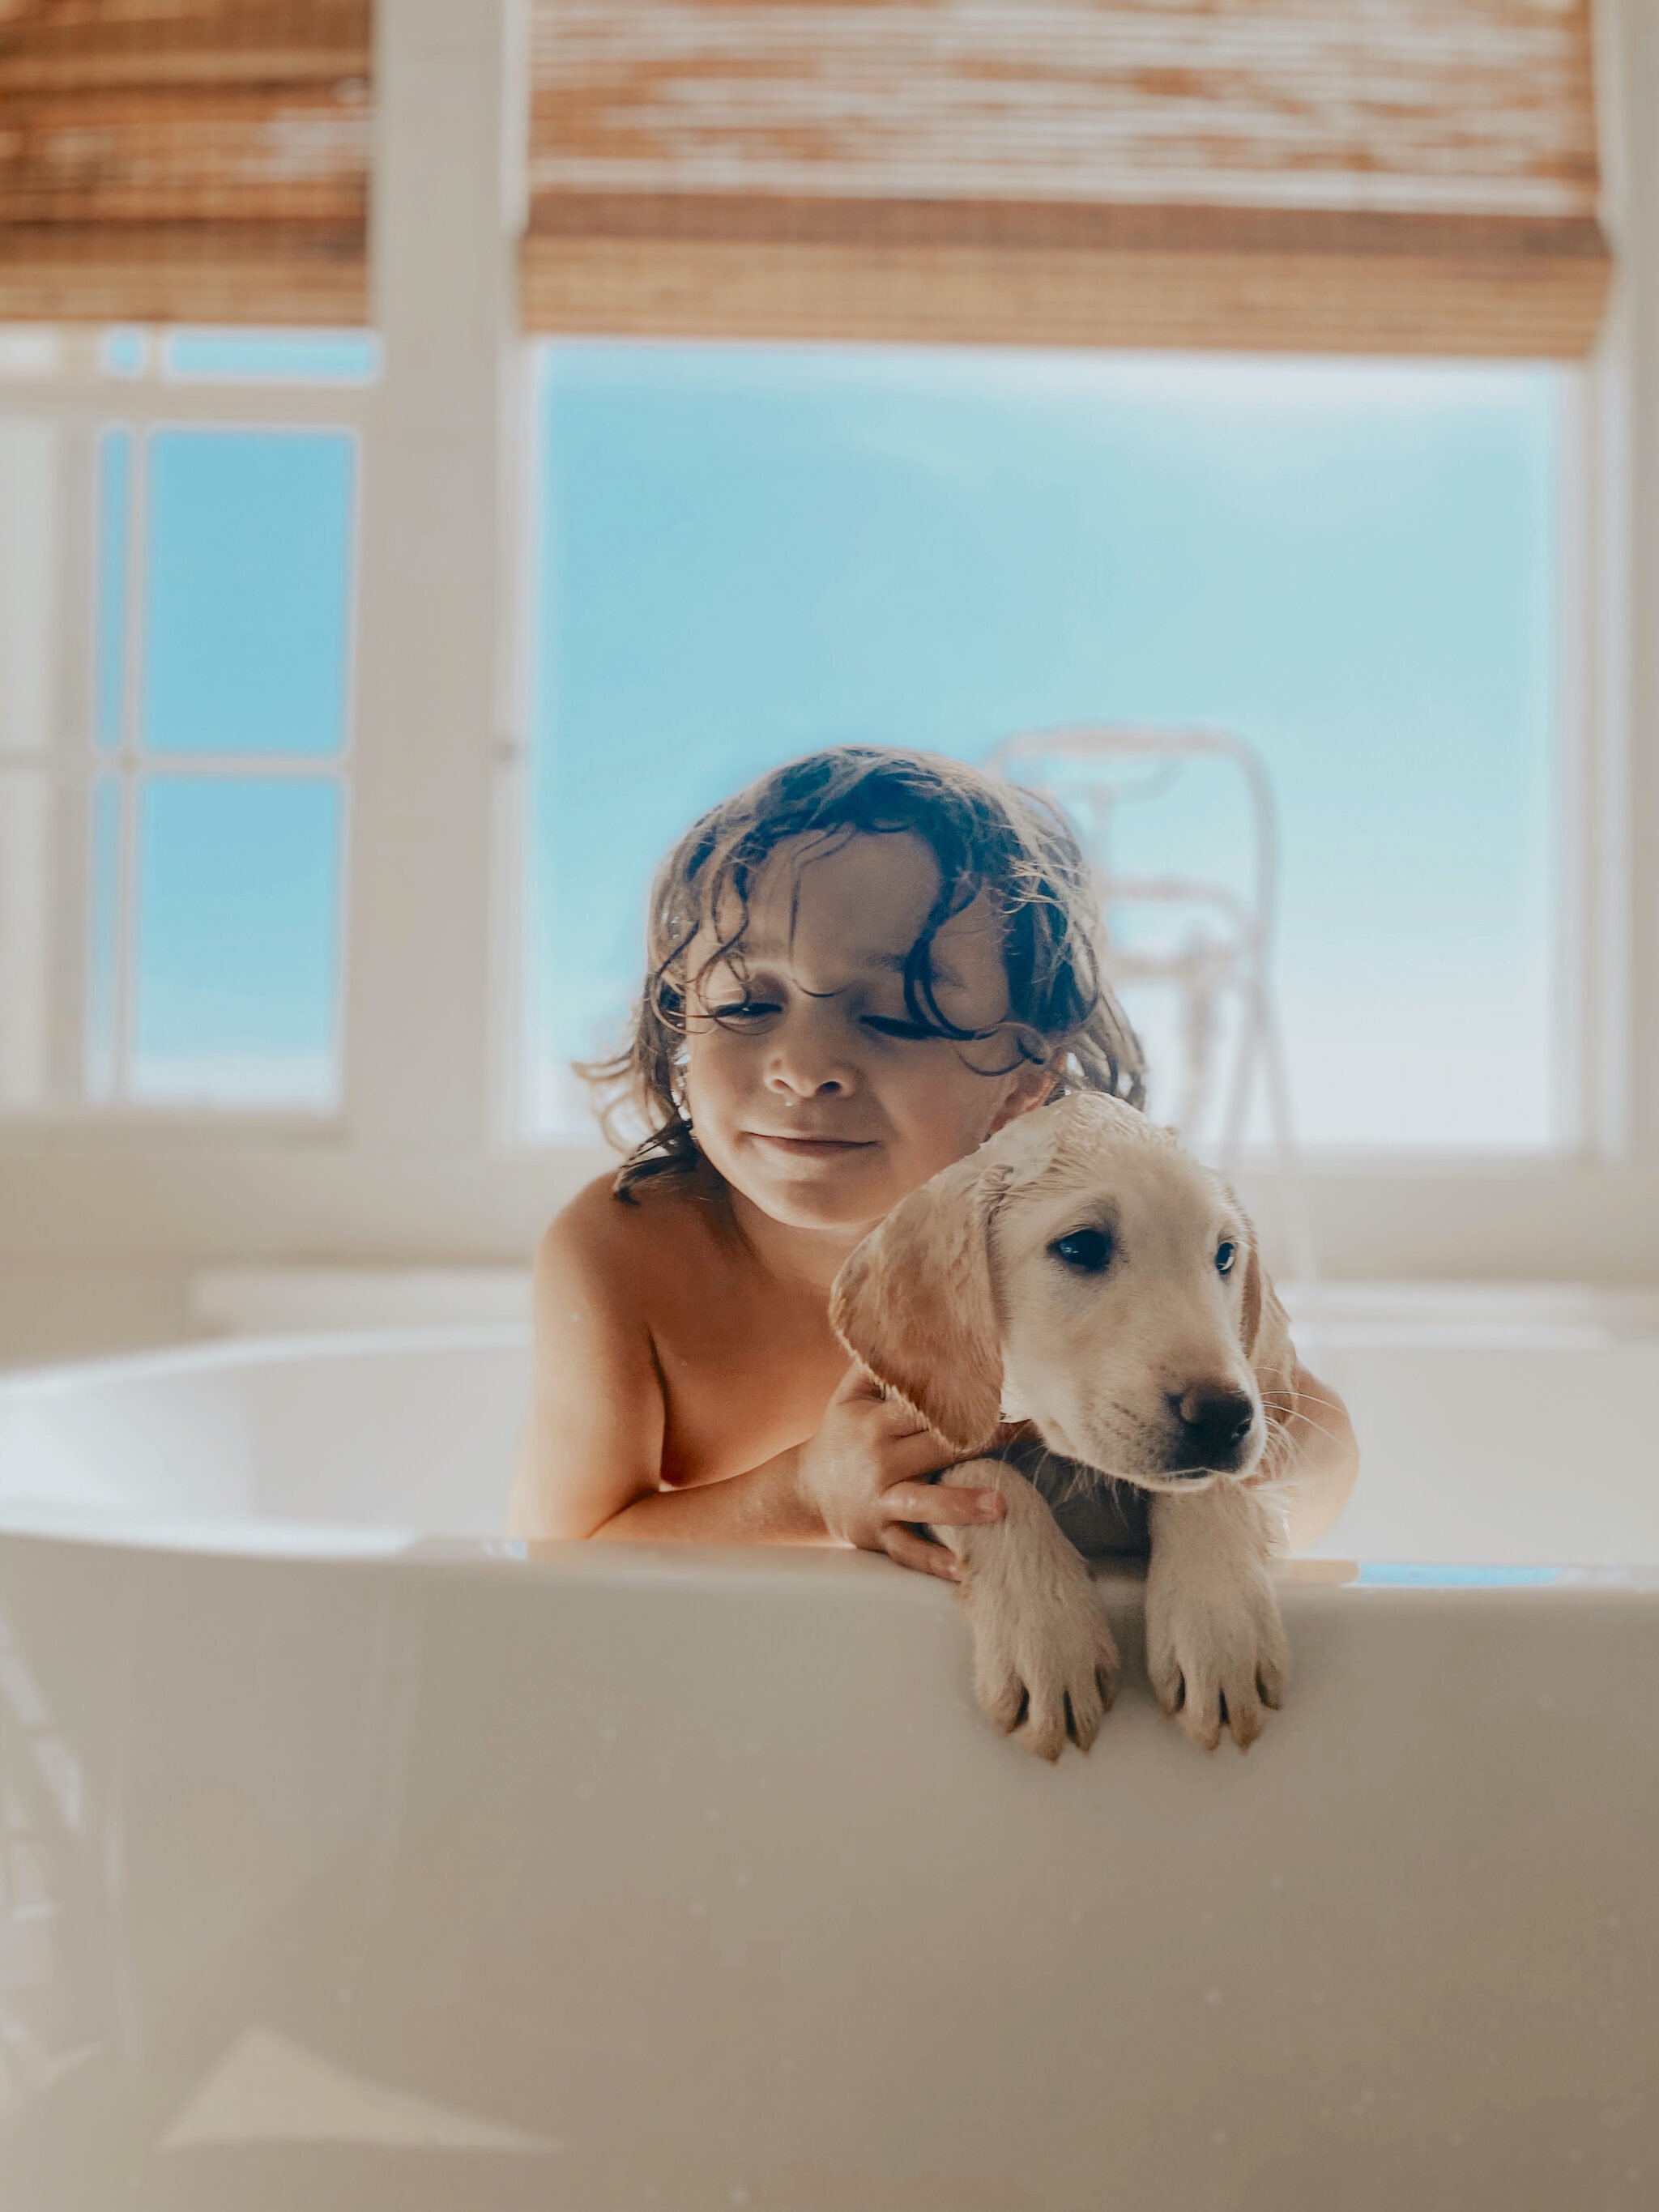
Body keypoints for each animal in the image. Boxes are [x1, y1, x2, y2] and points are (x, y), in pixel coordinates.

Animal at [831, 1088, 1300, 1760]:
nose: (1224, 1417)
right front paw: (1048, 1632)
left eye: (1225, 1254)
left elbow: (1212, 1487)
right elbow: (985, 1476)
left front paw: (1221, 1625)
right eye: (1081, 1247)